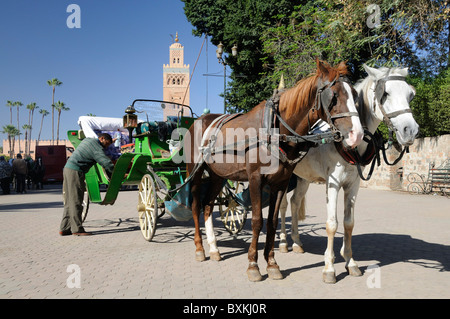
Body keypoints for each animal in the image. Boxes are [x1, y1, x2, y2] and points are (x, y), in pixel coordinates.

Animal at [185, 60, 364, 282]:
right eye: (334, 96)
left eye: (355, 95)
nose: (357, 135)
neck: (275, 130)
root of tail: (199, 120)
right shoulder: (255, 179)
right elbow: (256, 221)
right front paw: (253, 265)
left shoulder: (280, 182)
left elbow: (271, 221)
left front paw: (271, 264)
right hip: (195, 173)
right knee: (196, 206)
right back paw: (200, 248)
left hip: (219, 176)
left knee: (208, 206)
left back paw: (214, 249)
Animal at [280, 63, 420, 284]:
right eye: (385, 93)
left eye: (411, 95)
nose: (410, 131)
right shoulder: (333, 183)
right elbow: (332, 224)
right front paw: (329, 268)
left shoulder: (353, 184)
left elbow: (348, 223)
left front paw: (350, 262)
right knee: (283, 205)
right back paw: (283, 243)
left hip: (304, 177)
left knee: (294, 202)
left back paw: (296, 242)